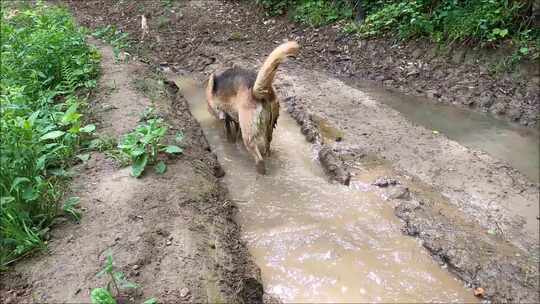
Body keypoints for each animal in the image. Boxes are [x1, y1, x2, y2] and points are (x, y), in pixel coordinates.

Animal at [206, 41, 300, 173]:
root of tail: (257, 91)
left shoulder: (227, 116)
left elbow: (229, 132)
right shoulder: (235, 118)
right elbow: (236, 129)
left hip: (249, 134)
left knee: (259, 159)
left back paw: (260, 171)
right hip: (269, 129)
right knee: (267, 147)